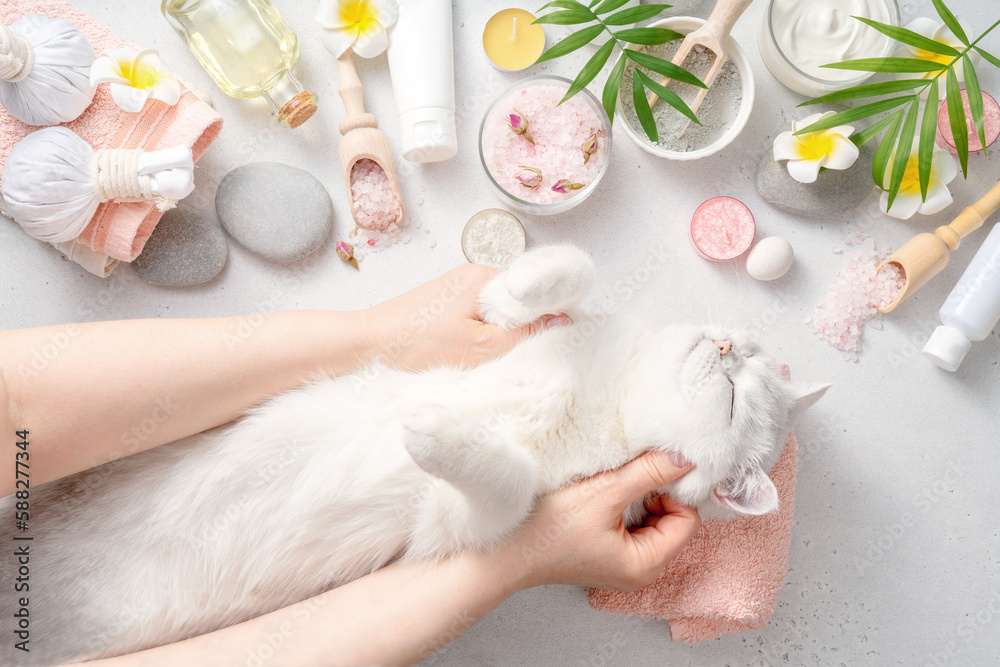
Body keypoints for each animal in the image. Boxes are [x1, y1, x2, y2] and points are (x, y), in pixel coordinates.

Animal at [0, 248, 828, 664]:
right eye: (743, 352)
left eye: (736, 393)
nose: (722, 344)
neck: (613, 391)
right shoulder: (504, 326)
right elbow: (562, 273)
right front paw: (538, 264)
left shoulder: (448, 525)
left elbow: (507, 478)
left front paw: (434, 427)